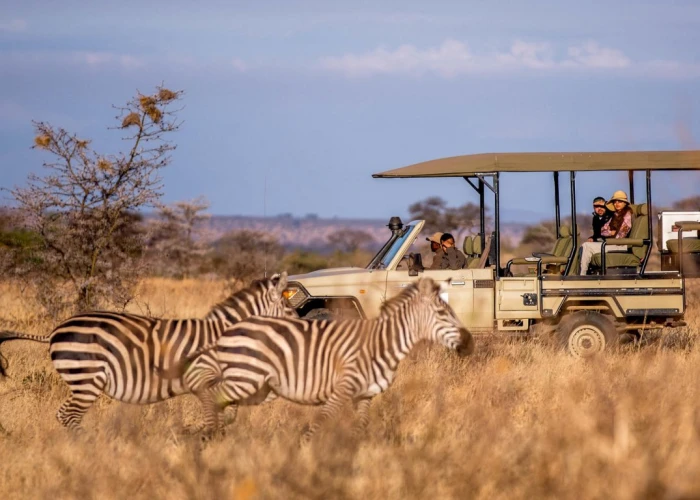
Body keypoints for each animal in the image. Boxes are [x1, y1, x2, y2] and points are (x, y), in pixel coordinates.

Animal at [0, 274, 298, 430]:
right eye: (290, 310)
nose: (302, 327)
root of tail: (55, 330)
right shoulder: (202, 380)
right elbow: (215, 414)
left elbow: (228, 413)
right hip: (87, 378)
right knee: (69, 415)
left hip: (81, 380)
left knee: (64, 415)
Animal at [161, 278, 474, 442]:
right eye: (444, 314)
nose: (469, 343)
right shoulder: (343, 389)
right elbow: (320, 426)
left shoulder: (362, 394)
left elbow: (359, 428)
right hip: (245, 379)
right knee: (213, 399)